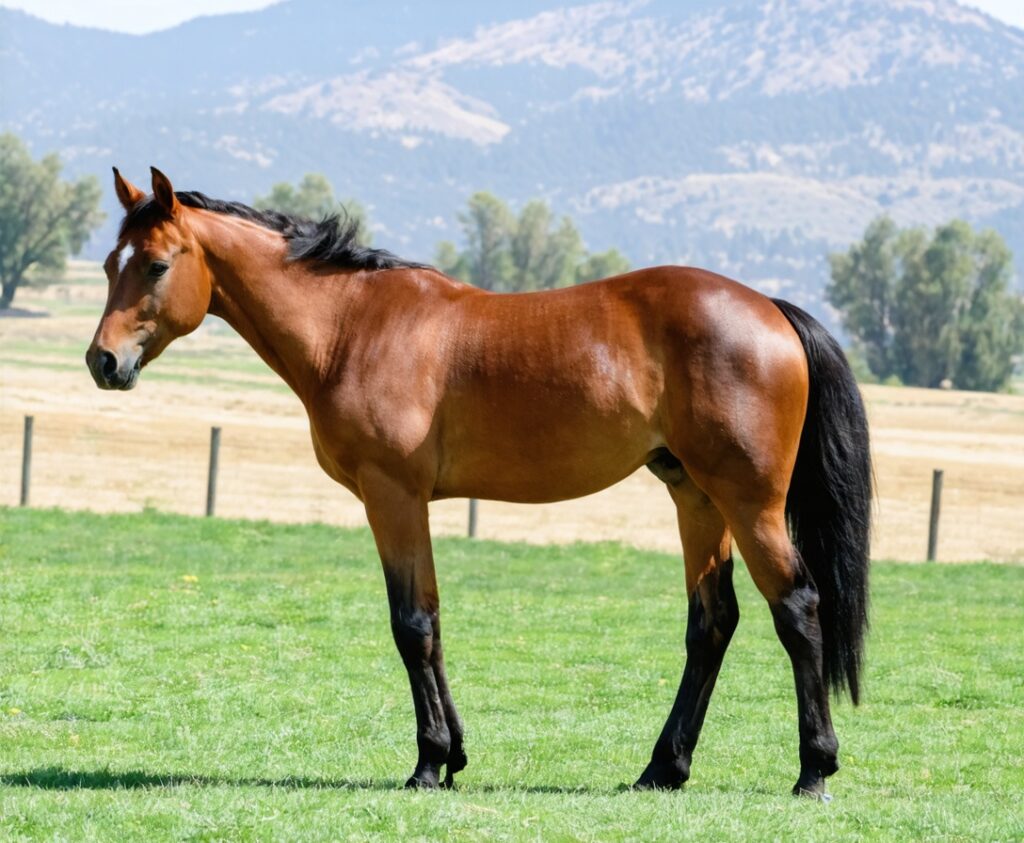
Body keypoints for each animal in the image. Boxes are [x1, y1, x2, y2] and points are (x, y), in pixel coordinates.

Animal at [86, 167, 871, 795]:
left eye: (156, 265)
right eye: (107, 264)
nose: (103, 362)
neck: (353, 325)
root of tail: (770, 309)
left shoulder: (392, 496)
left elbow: (411, 624)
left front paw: (429, 763)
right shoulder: (410, 504)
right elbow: (431, 621)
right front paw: (455, 754)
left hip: (749, 502)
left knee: (797, 608)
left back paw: (813, 769)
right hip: (696, 496)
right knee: (712, 621)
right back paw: (662, 768)